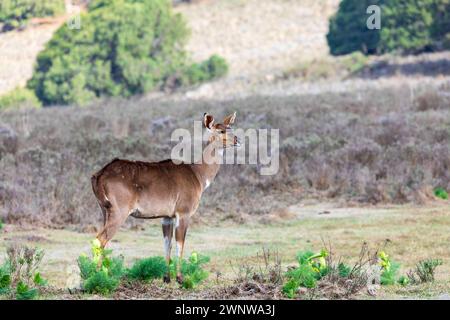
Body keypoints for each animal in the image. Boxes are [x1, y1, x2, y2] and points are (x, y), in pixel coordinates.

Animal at [89, 112, 241, 282]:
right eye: (221, 131)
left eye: (230, 127)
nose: (237, 141)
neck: (197, 174)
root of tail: (99, 175)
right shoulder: (183, 213)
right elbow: (180, 243)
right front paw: (180, 278)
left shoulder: (167, 217)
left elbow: (167, 244)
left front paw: (167, 278)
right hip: (119, 212)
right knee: (100, 239)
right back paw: (95, 277)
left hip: (104, 211)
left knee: (104, 241)